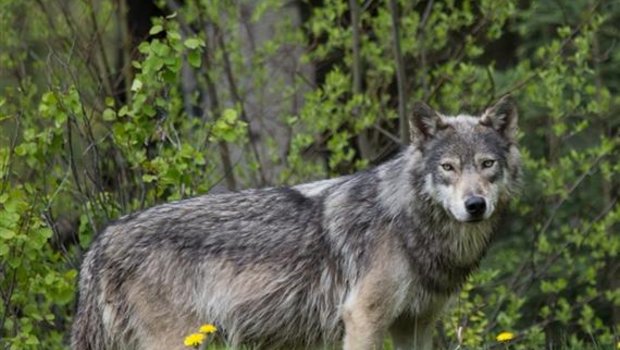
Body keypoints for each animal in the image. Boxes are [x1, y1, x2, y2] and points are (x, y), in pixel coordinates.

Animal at [70, 95, 520, 350]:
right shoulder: (363, 318)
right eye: (448, 167)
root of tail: (102, 240)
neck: (410, 223)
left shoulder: (416, 324)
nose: (475, 204)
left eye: (486, 164)